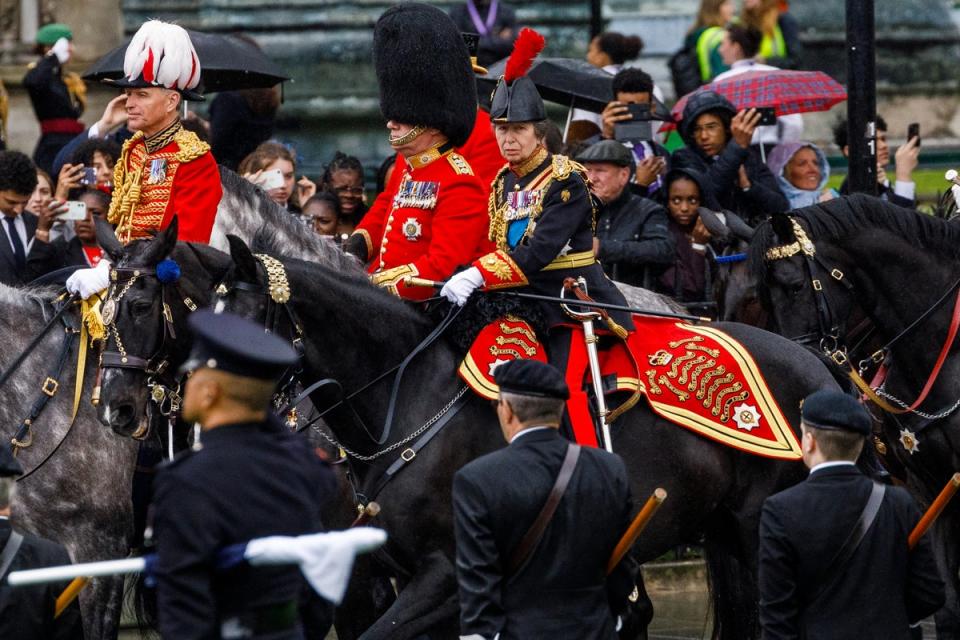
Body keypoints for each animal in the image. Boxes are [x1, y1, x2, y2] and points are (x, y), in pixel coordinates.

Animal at [95, 216, 848, 640]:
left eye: (143, 304)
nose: (117, 407)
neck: (401, 396)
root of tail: (817, 364)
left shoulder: (447, 574)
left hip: (761, 530)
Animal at [752, 194, 960, 636]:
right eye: (764, 297)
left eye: (795, 286)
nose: (801, 358)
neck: (946, 349)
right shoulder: (930, 487)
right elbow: (949, 610)